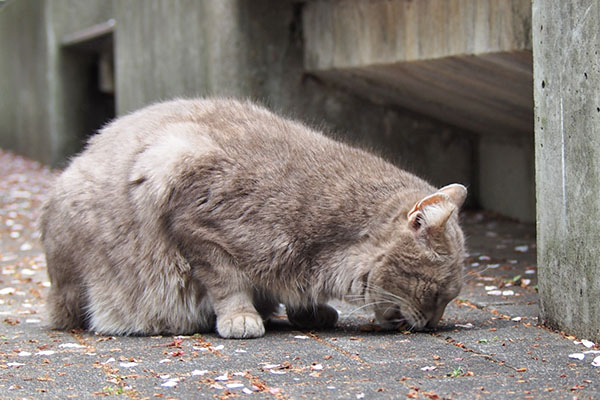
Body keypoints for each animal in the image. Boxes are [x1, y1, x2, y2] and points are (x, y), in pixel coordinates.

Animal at [39, 97, 466, 338]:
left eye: (446, 299)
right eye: (435, 294)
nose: (432, 324)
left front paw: (308, 311)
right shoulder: (189, 209)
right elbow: (228, 282)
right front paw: (241, 317)